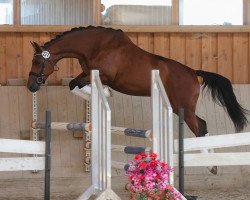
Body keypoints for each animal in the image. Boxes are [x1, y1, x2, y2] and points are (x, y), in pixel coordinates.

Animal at [26, 26, 248, 173]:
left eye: (37, 61)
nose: (31, 86)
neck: (96, 46)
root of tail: (194, 72)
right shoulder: (88, 73)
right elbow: (74, 85)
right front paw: (100, 95)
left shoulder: (101, 75)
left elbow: (76, 84)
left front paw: (105, 93)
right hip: (179, 106)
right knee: (203, 124)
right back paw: (212, 162)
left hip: (183, 107)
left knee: (200, 127)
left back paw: (211, 165)